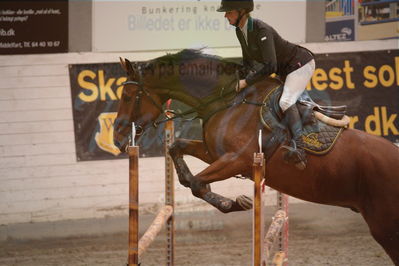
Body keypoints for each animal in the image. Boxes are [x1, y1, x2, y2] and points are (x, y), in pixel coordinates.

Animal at [112, 49, 399, 264]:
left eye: (127, 96)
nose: (117, 138)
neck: (228, 101)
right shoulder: (215, 153)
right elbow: (177, 151)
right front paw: (229, 200)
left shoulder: (236, 159)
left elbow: (196, 183)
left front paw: (234, 203)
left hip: (385, 227)